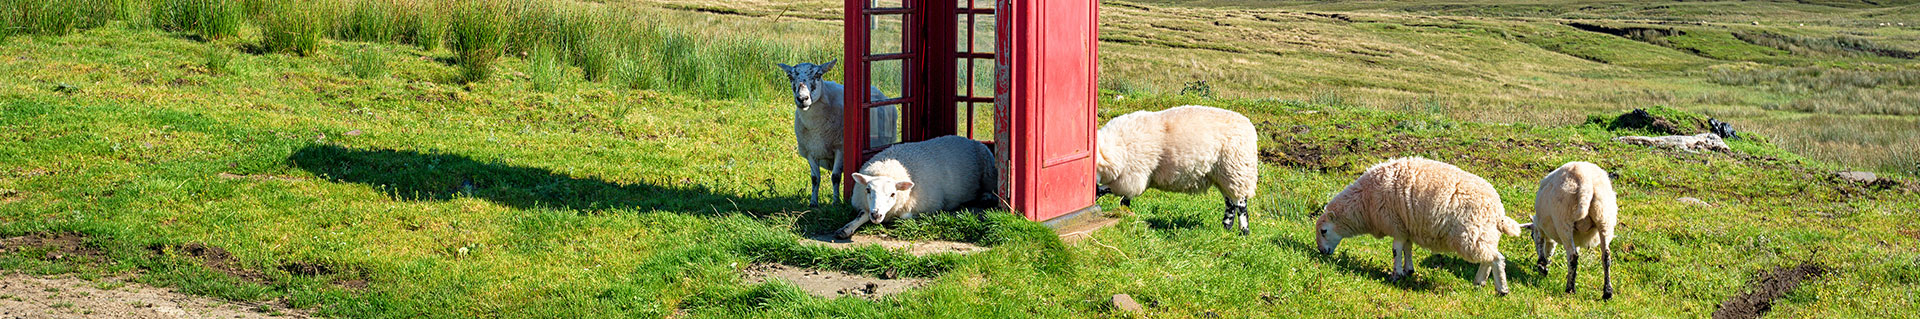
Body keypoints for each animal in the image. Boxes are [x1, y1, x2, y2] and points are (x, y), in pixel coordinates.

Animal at [779, 59, 898, 206]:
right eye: (790, 77)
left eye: (818, 75)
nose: (802, 99)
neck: (815, 127)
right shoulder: (810, 151)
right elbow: (815, 178)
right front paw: (813, 202)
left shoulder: (840, 148)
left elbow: (835, 177)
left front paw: (836, 202)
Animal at [837, 135, 998, 239]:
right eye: (868, 190)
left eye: (893, 194)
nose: (876, 215)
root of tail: (967, 139)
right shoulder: (866, 205)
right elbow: (862, 214)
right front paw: (846, 229)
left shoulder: (931, 203)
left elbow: (904, 216)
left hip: (989, 172)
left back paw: (986, 198)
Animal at [1098, 104, 1259, 234]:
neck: (1118, 145)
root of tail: (1249, 127)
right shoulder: (1130, 178)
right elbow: (1124, 200)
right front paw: (1125, 213)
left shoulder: (1132, 177)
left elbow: (1109, 190)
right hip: (1222, 176)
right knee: (1230, 203)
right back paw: (1226, 228)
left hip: (1236, 171)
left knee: (1241, 204)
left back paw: (1244, 231)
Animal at [1313, 157, 1520, 295]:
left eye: (1324, 231)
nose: (1322, 252)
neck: (1364, 202)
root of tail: (1498, 211)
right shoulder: (1406, 227)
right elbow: (1408, 248)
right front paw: (1408, 271)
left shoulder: (1395, 225)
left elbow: (1396, 250)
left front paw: (1395, 275)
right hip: (1482, 234)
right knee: (1487, 258)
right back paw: (1479, 283)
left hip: (1471, 234)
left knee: (1497, 258)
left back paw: (1502, 290)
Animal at [1528, 160, 1620, 299]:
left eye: (1531, 236)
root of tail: (1586, 183)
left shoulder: (1541, 228)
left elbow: (1540, 242)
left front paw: (1542, 266)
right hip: (1605, 219)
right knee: (1606, 256)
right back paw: (1607, 292)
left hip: (1564, 221)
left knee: (1573, 256)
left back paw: (1570, 289)